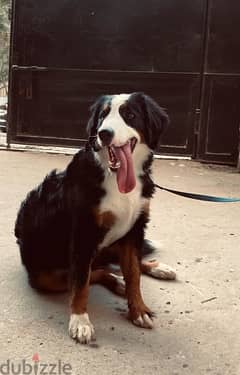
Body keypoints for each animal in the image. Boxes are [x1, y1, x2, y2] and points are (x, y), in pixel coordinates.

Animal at [15, 92, 176, 346]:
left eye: (130, 115)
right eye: (102, 116)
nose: (104, 133)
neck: (115, 178)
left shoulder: (135, 229)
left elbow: (133, 273)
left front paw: (138, 310)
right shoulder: (84, 232)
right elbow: (81, 283)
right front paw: (80, 321)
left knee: (113, 264)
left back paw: (156, 268)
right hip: (44, 275)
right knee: (91, 272)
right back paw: (117, 281)